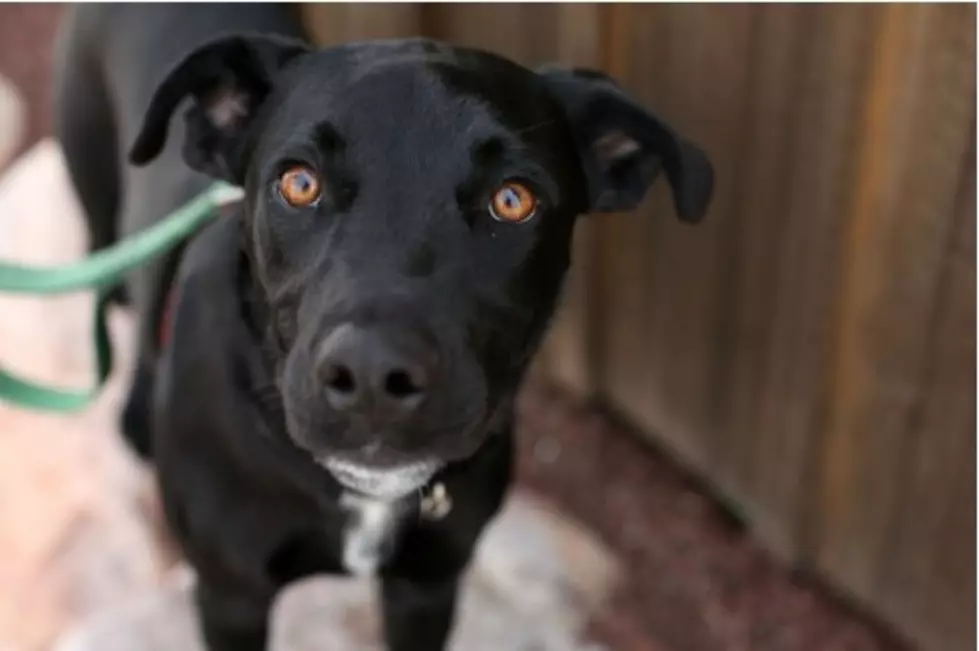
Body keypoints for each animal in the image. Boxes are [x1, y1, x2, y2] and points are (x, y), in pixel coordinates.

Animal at [51, 2, 712, 648]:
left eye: (513, 199)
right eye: (299, 183)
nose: (372, 376)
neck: (358, 495)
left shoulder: (428, 587)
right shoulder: (230, 596)